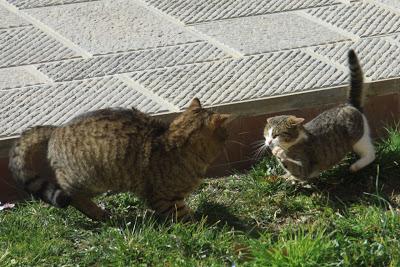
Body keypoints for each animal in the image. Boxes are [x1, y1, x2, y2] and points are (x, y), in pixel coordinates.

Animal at [10, 99, 231, 221]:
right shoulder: (164, 197)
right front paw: (201, 227)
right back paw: (98, 214)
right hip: (89, 178)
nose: (229, 139)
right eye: (225, 135)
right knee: (71, 194)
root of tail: (57, 129)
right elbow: (182, 215)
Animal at [266, 50, 376, 182]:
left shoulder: (305, 165)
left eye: (276, 134)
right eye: (267, 133)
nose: (269, 141)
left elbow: (295, 168)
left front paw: (279, 153)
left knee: (371, 154)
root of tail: (349, 105)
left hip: (359, 139)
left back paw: (355, 166)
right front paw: (287, 176)